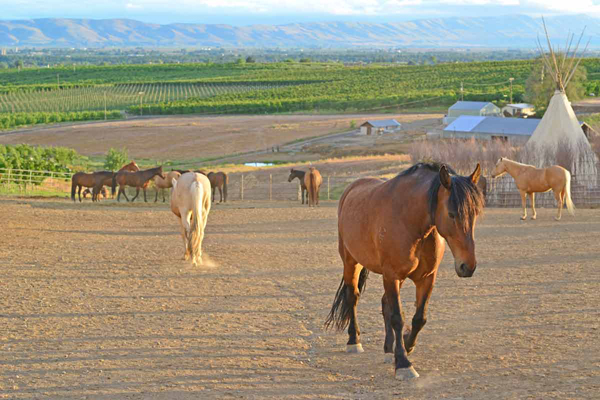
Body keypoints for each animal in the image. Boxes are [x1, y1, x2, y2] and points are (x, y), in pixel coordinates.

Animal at [326, 162, 486, 382]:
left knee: (384, 303)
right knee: (353, 297)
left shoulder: (426, 279)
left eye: (475, 214)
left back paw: (388, 350)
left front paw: (406, 345)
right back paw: (353, 341)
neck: (410, 222)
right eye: (452, 214)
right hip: (351, 262)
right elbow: (397, 317)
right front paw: (403, 363)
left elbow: (419, 319)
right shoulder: (391, 276)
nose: (468, 266)